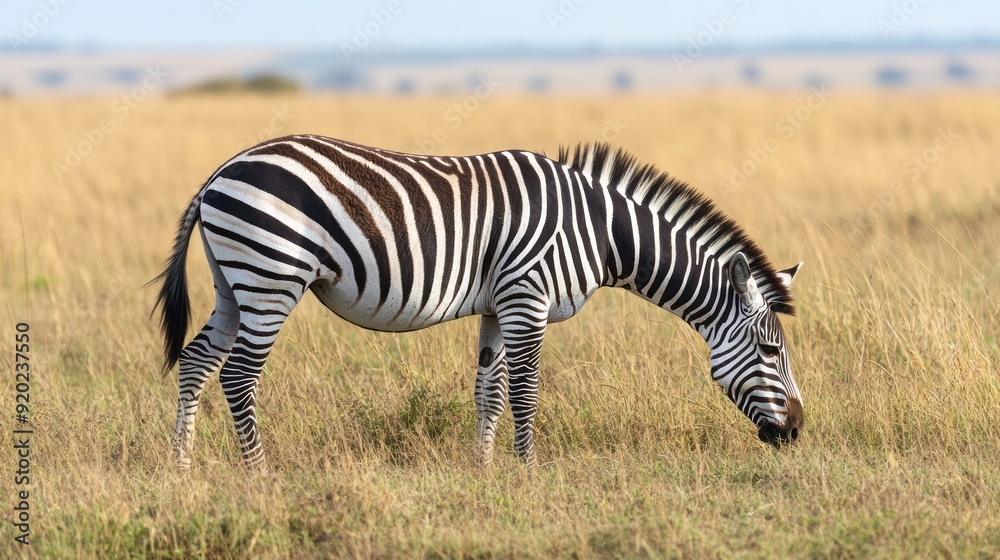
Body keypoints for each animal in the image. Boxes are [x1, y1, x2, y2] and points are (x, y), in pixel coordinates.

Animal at [154, 135, 804, 471]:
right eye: (771, 352)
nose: (797, 430)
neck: (598, 230)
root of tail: (220, 172)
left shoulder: (498, 304)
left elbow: (488, 391)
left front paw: (485, 473)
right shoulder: (527, 296)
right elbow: (525, 390)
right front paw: (528, 473)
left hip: (233, 283)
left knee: (196, 362)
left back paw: (182, 467)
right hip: (272, 276)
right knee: (238, 375)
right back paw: (259, 475)